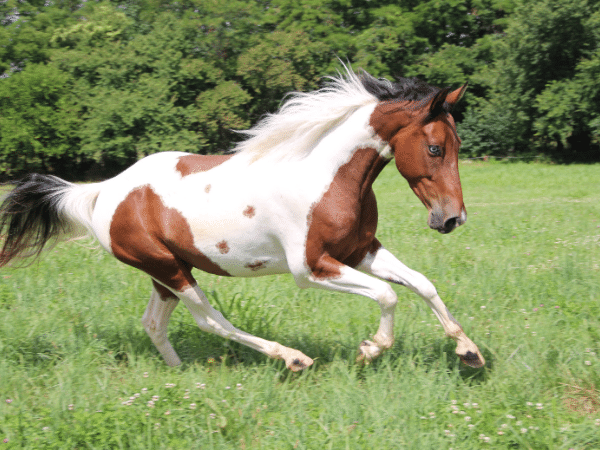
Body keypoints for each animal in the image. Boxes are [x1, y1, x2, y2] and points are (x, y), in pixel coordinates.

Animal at [0, 66, 486, 370]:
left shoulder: (361, 251)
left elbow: (422, 284)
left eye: (459, 145)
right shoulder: (311, 268)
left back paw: (180, 375)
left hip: (165, 271)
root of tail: (101, 192)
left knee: (154, 324)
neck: (324, 176)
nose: (452, 219)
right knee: (210, 320)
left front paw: (469, 352)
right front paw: (369, 350)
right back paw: (292, 358)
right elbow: (387, 295)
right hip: (169, 268)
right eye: (435, 147)